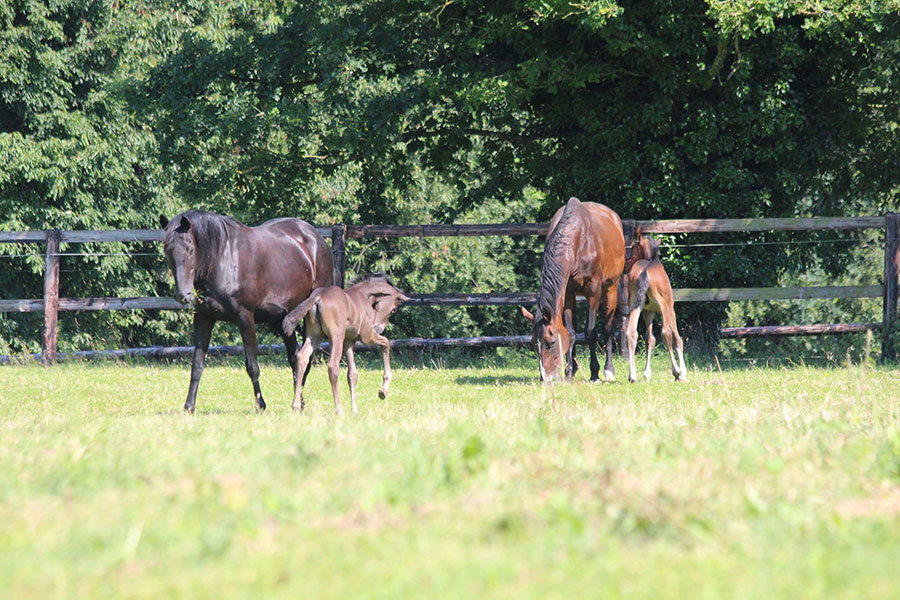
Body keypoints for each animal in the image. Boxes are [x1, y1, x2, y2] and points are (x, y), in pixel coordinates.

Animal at [282, 276, 408, 412]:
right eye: (393, 309)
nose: (378, 328)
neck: (364, 296)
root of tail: (319, 296)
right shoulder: (367, 336)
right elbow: (386, 343)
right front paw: (383, 391)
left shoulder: (349, 341)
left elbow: (352, 374)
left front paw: (354, 409)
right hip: (336, 337)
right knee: (333, 367)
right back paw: (339, 409)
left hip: (314, 337)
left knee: (302, 357)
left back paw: (295, 405)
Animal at [520, 198, 624, 384]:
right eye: (533, 344)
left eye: (551, 342)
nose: (545, 378)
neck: (579, 239)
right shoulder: (567, 294)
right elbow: (571, 332)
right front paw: (569, 371)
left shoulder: (593, 293)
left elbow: (590, 332)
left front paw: (595, 372)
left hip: (611, 289)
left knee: (608, 328)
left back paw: (608, 371)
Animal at [620, 227, 688, 382]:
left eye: (634, 247)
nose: (626, 264)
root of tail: (645, 272)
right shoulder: (670, 308)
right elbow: (677, 338)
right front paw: (683, 372)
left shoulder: (648, 312)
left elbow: (649, 339)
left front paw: (647, 373)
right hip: (664, 307)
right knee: (666, 332)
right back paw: (676, 371)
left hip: (635, 306)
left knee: (631, 332)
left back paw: (632, 376)